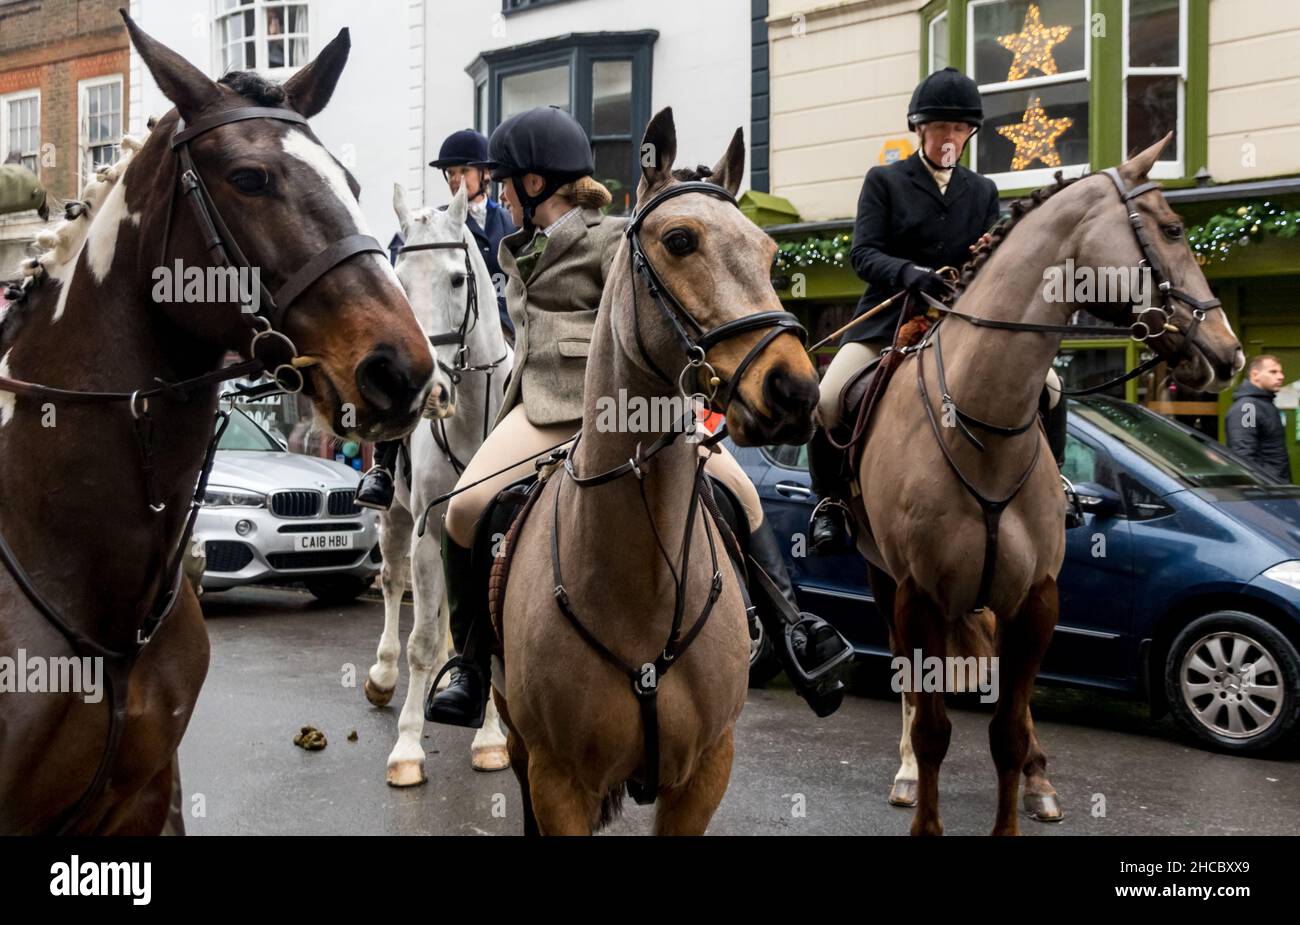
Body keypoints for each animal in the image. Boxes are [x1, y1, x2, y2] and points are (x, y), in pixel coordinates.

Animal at [364, 180, 514, 779]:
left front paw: (491, 739)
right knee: (392, 583)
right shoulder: (428, 531)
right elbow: (421, 639)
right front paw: (408, 746)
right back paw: (383, 677)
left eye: (456, 278)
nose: (429, 392)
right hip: (396, 518)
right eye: (398, 284)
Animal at [491, 110, 816, 836]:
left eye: (769, 254)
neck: (642, 585)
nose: (795, 392)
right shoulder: (556, 780)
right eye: (680, 240)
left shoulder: (704, 772)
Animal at [857, 137, 1242, 836]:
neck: (980, 422)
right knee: (907, 679)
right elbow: (932, 727)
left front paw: (1026, 787)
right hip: (882, 578)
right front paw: (921, 796)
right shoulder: (917, 594)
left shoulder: (1037, 598)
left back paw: (1040, 781)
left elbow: (1008, 731)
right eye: (1173, 230)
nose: (1229, 355)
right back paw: (905, 772)